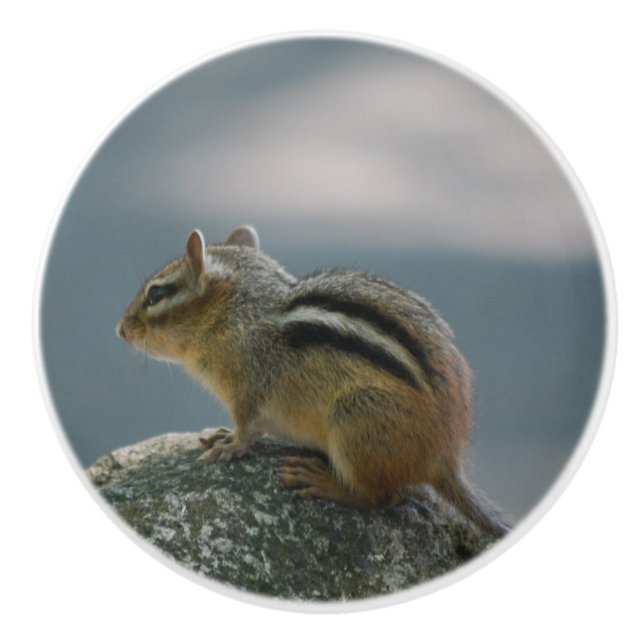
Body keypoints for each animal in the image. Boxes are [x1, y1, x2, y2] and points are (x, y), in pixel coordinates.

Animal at [117, 225, 510, 538]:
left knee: (381, 496)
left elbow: (246, 425)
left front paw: (231, 445)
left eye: (156, 294)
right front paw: (222, 436)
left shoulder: (247, 389)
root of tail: (445, 458)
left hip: (355, 422)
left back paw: (321, 482)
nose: (120, 330)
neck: (237, 313)